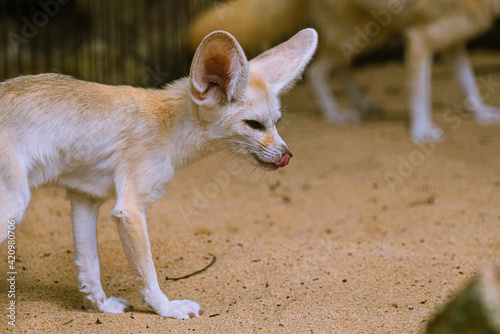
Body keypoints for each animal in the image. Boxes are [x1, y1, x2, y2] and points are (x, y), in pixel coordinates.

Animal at [0, 28, 318, 318]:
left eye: (276, 122)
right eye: (254, 124)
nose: (287, 155)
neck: (166, 124)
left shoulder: (85, 197)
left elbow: (89, 267)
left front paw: (99, 307)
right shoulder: (129, 209)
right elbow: (147, 275)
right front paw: (166, 309)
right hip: (15, 206)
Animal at [187, 0, 500, 142]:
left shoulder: (453, 43)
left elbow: (468, 84)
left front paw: (483, 113)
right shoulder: (420, 39)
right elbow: (420, 91)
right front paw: (421, 130)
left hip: (369, 34)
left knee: (339, 68)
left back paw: (359, 103)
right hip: (362, 34)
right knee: (319, 70)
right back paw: (336, 113)